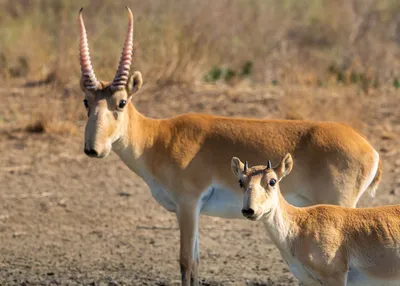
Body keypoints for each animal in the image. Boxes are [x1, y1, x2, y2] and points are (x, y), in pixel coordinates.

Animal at [231, 154, 396, 286]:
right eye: (240, 182)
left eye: (272, 181)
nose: (249, 210)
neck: (300, 226)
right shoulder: (307, 281)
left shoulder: (334, 278)